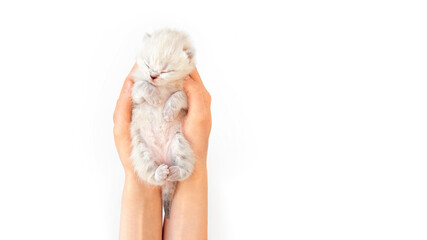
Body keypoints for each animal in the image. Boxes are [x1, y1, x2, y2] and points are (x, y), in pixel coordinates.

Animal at [130, 29, 197, 218]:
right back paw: (161, 173)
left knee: (185, 169)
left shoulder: (188, 99)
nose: (153, 76)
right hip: (141, 152)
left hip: (179, 142)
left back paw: (174, 171)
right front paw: (155, 98)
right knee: (152, 175)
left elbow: (177, 96)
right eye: (147, 64)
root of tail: (164, 160)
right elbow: (142, 86)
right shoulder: (135, 95)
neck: (163, 86)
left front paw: (167, 112)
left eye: (166, 70)